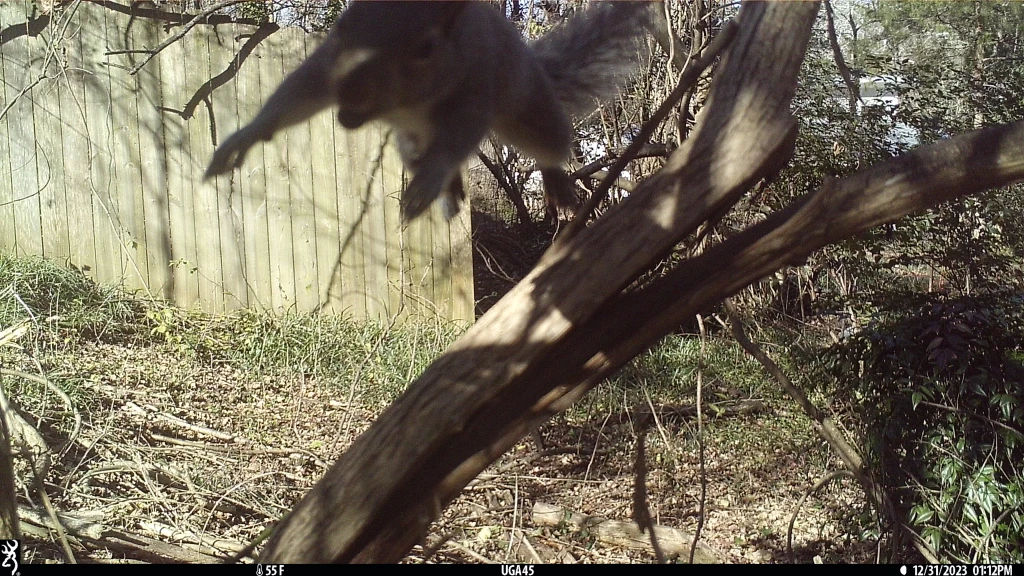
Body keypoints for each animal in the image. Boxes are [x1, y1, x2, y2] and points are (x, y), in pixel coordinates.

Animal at [204, 1, 652, 222]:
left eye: (426, 47)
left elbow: (455, 142)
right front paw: (241, 140)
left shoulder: (474, 95)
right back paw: (450, 193)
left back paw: (556, 185)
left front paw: (424, 187)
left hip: (529, 110)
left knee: (550, 145)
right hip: (406, 143)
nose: (351, 89)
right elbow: (295, 95)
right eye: (343, 24)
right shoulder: (324, 70)